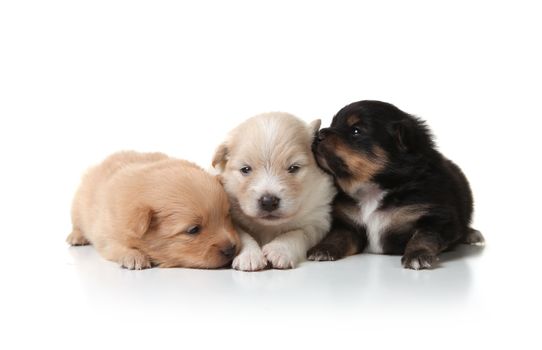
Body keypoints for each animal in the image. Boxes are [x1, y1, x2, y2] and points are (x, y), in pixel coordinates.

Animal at [66, 152, 240, 270]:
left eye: (227, 216)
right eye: (193, 230)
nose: (231, 249)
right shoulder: (106, 234)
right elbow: (116, 247)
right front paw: (134, 256)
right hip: (77, 206)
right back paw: (76, 237)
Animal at [211, 112, 336, 270]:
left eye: (293, 168)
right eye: (245, 169)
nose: (268, 202)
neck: (269, 227)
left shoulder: (318, 221)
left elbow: (296, 233)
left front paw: (279, 250)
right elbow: (243, 235)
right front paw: (249, 255)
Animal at [308, 100, 486, 270]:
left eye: (356, 130)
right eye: (332, 124)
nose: (318, 134)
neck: (370, 191)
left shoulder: (439, 218)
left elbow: (423, 235)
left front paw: (417, 256)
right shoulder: (348, 225)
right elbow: (337, 236)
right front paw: (322, 249)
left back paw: (472, 234)